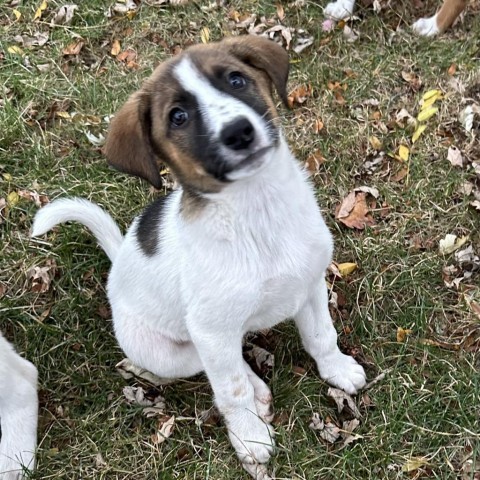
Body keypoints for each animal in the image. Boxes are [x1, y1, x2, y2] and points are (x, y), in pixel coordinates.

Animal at [31, 35, 366, 474]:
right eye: (178, 117)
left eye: (236, 79)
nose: (238, 132)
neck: (258, 212)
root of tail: (117, 263)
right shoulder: (211, 329)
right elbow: (232, 389)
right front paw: (250, 436)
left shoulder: (309, 285)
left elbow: (321, 337)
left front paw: (337, 369)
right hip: (171, 353)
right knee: (217, 368)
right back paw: (256, 394)